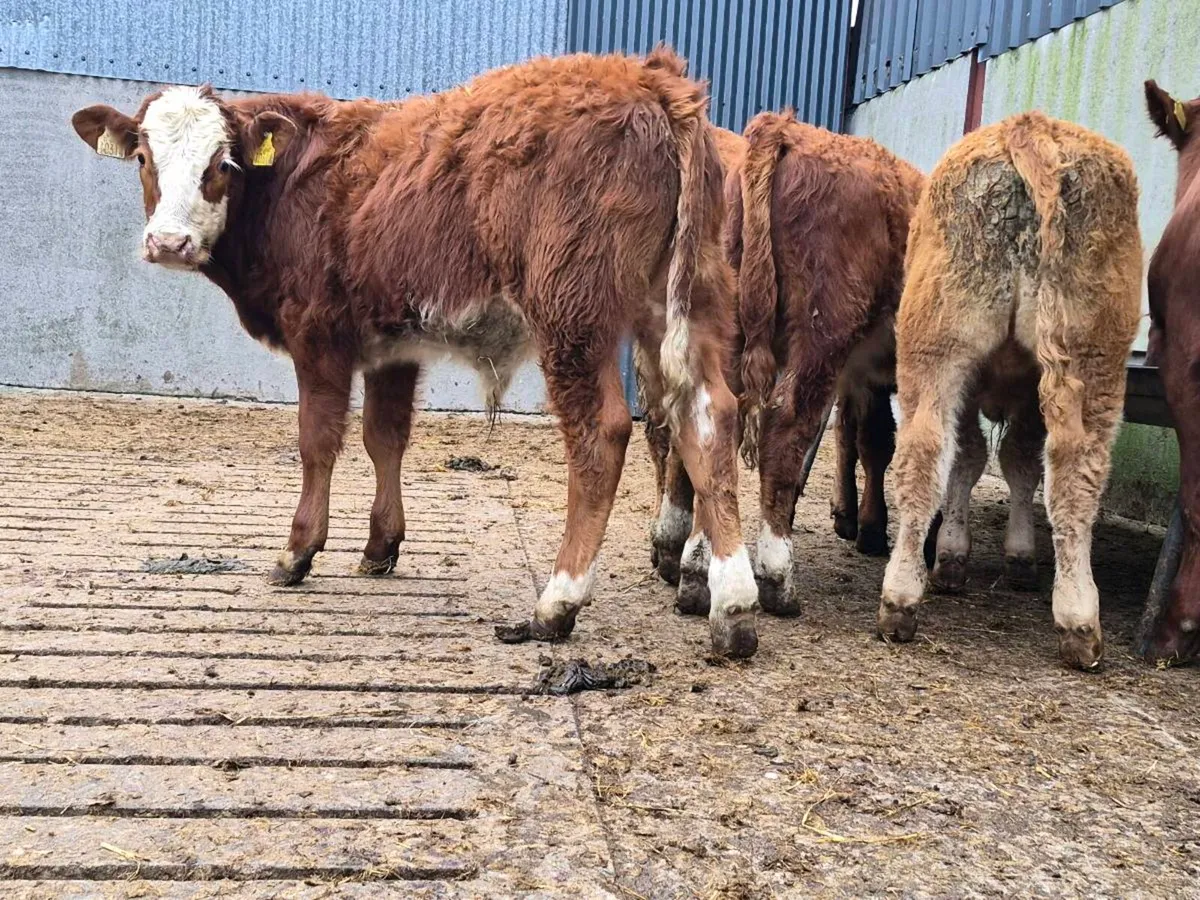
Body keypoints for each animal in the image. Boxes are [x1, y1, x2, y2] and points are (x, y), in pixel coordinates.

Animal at [70, 48, 762, 659]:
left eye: (222, 163)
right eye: (143, 157)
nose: (168, 242)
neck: (293, 183)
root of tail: (652, 80)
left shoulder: (318, 335)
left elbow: (317, 442)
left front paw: (298, 551)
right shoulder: (391, 346)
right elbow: (385, 438)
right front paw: (382, 546)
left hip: (574, 315)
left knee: (602, 434)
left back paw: (558, 602)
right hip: (686, 301)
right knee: (708, 420)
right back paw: (732, 607)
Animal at [877, 111, 1143, 670]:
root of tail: (1032, 126)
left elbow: (979, 460)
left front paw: (958, 553)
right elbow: (1006, 462)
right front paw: (1006, 556)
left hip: (939, 349)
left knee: (923, 453)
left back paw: (901, 600)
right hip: (1087, 361)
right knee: (1073, 470)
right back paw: (1078, 618)